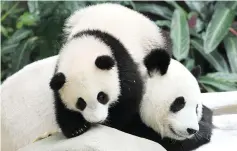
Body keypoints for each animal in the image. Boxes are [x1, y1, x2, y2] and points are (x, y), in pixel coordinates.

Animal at [49, 3, 170, 138]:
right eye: (80, 103)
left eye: (102, 96)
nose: (97, 120)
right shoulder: (59, 75)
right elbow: (61, 105)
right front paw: (77, 128)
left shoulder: (121, 62)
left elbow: (129, 97)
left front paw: (112, 123)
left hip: (152, 41)